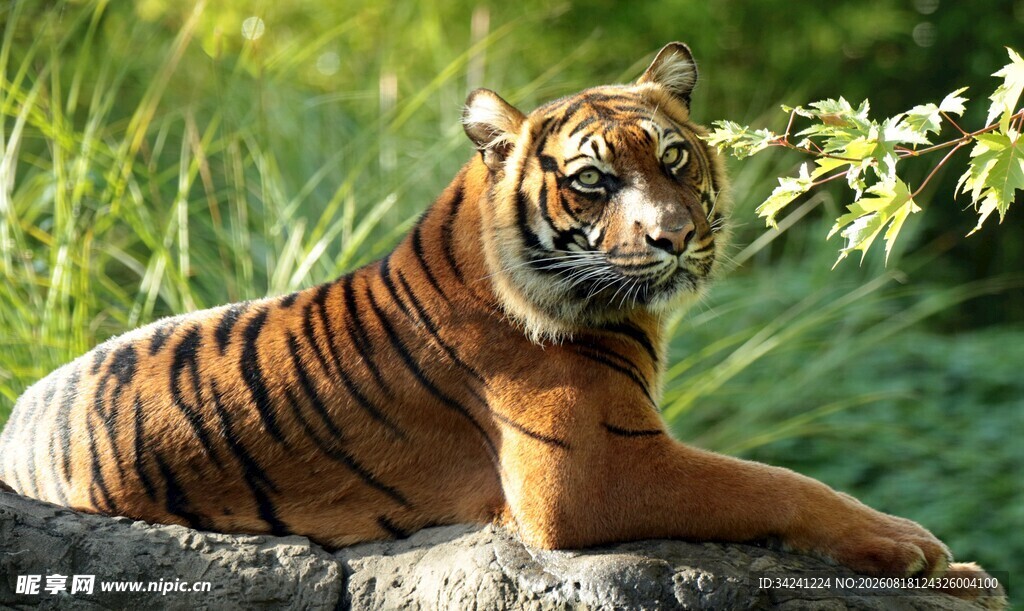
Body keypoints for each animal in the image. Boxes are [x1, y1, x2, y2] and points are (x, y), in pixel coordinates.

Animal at [0, 42, 1002, 603]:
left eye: (675, 159)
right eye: (594, 180)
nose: (676, 237)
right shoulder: (590, 472)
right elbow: (776, 481)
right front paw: (920, 549)